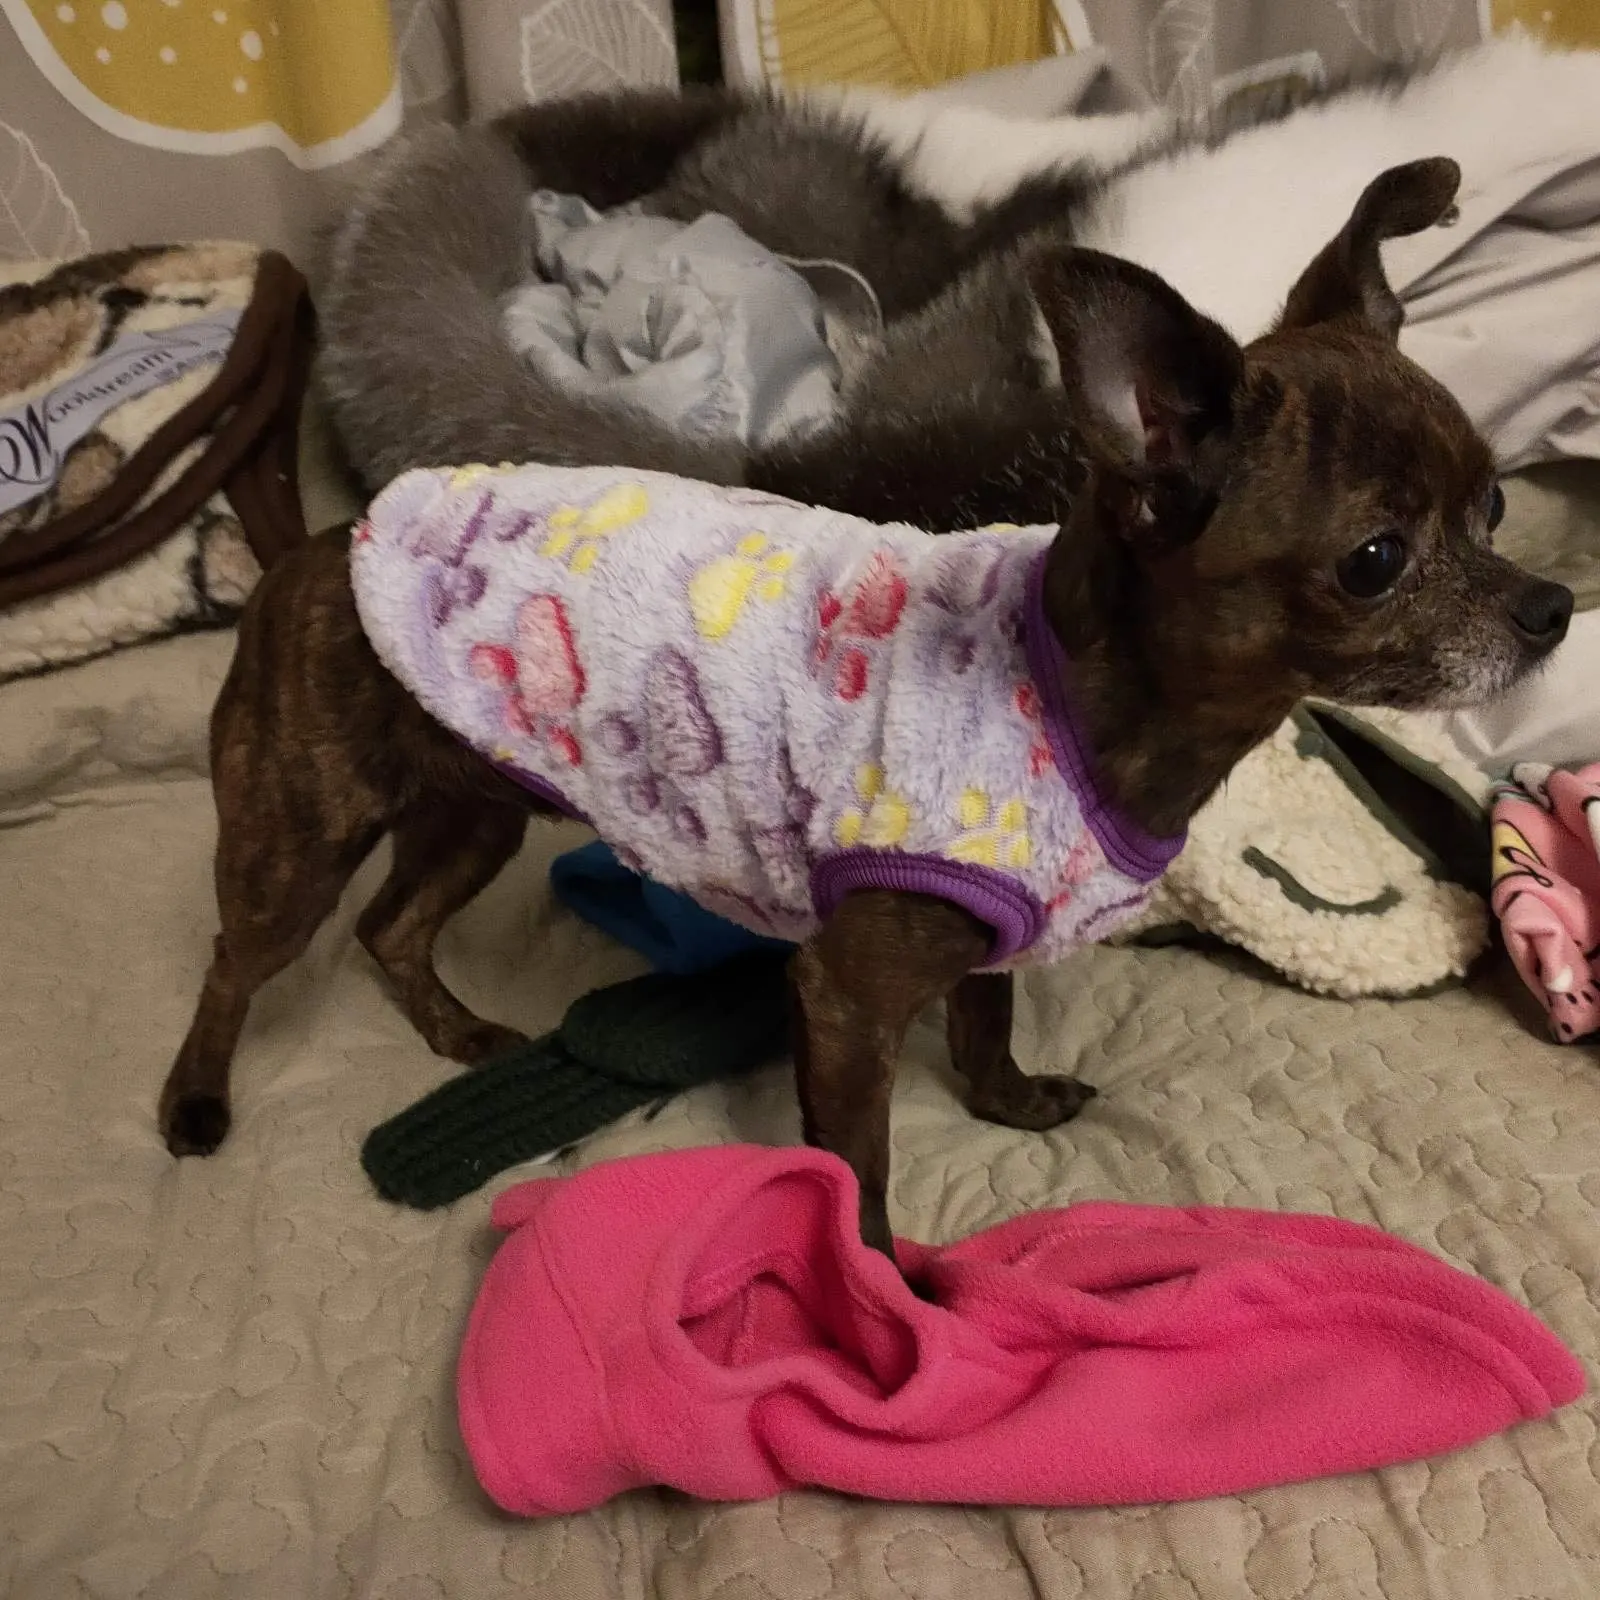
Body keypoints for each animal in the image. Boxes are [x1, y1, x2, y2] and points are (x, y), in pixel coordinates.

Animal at [164, 161, 1571, 1262]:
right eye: (1376, 561)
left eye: (1498, 505)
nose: (1554, 606)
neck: (1082, 702)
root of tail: (319, 544)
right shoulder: (843, 997)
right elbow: (858, 1162)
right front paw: (878, 1277)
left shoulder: (989, 939)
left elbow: (986, 1025)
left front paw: (1009, 1105)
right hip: (299, 838)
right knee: (239, 957)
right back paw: (194, 1102)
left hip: (467, 810)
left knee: (392, 928)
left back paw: (452, 1027)